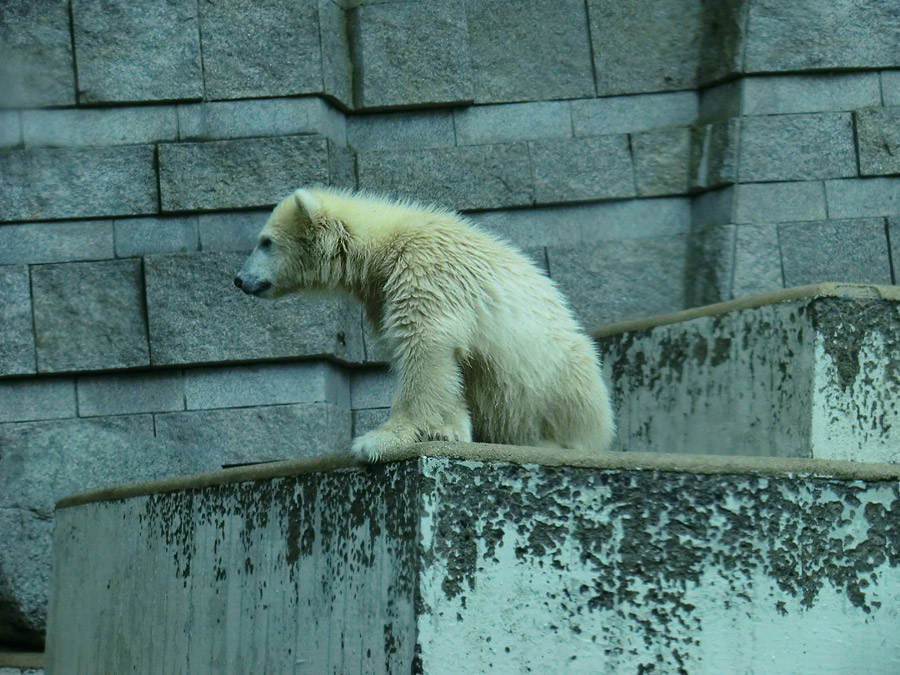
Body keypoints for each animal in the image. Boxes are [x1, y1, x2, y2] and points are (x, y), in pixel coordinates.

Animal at [232, 189, 616, 464]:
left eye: (265, 242)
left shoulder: (425, 271)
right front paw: (451, 430)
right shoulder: (382, 294)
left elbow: (424, 345)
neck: (385, 246)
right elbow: (449, 369)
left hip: (559, 379)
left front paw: (379, 440)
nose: (239, 279)